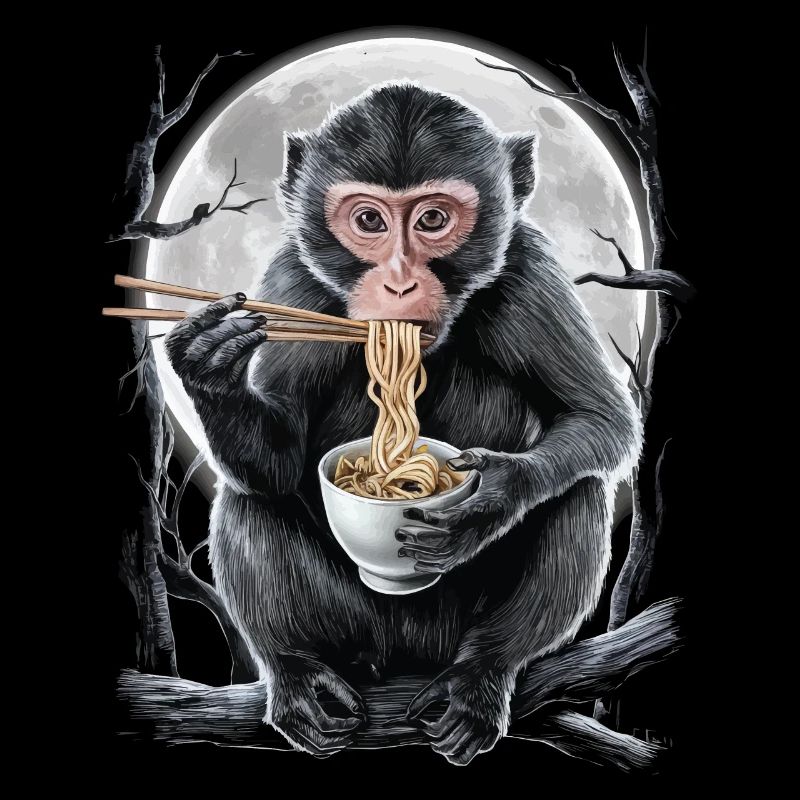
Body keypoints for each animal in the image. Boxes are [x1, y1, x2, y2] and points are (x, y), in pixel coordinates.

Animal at [165, 83, 641, 766]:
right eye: (369, 222)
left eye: (433, 221)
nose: (398, 283)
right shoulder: (292, 281)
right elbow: (278, 462)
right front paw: (211, 364)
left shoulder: (531, 270)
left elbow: (600, 417)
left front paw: (490, 501)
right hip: (359, 627)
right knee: (249, 498)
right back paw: (299, 673)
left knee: (578, 491)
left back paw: (479, 675)